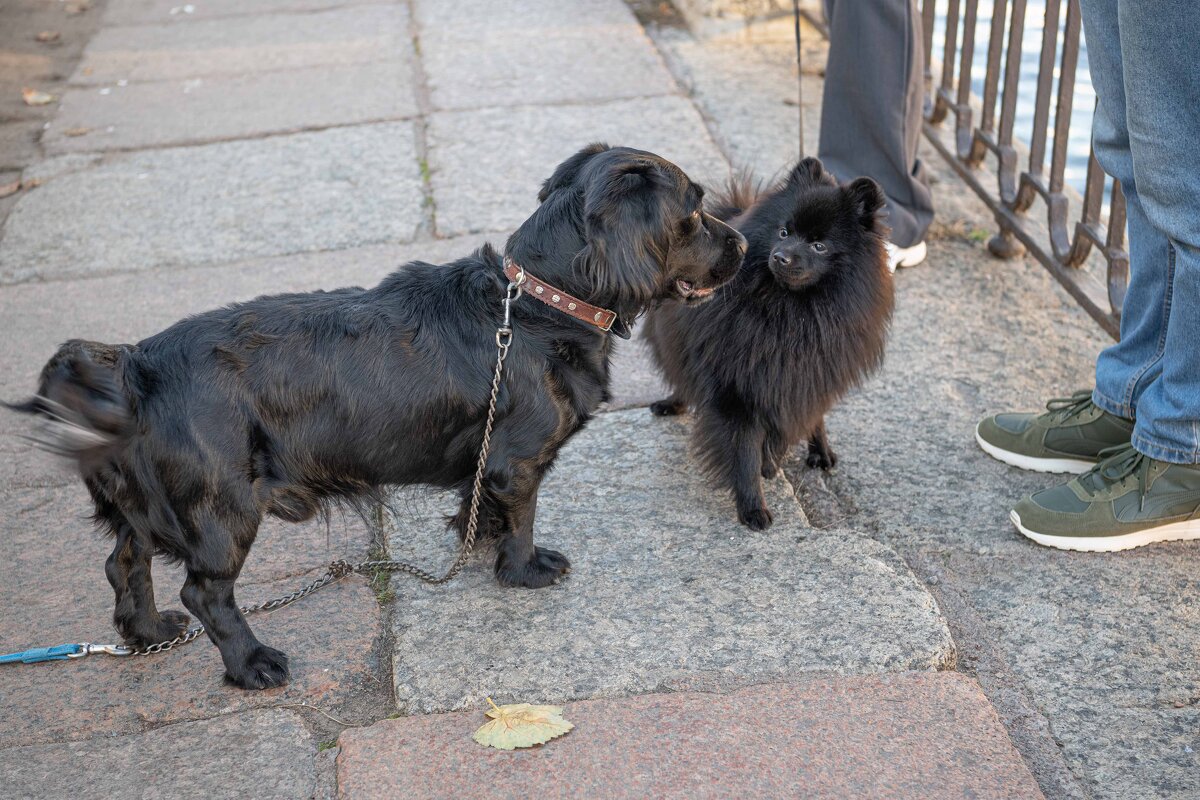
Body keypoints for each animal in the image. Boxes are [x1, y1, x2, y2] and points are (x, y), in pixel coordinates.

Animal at [4, 145, 744, 690]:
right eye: (696, 209)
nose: (741, 242)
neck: (536, 305)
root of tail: (135, 366)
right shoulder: (519, 459)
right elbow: (523, 517)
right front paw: (524, 568)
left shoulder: (488, 463)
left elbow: (479, 503)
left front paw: (475, 541)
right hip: (221, 509)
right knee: (205, 595)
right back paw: (251, 664)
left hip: (147, 507)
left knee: (124, 562)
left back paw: (147, 633)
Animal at [648, 155, 892, 532]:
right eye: (784, 232)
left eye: (819, 245)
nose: (781, 257)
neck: (790, 312)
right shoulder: (738, 389)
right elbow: (745, 450)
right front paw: (753, 506)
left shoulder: (806, 376)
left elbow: (807, 418)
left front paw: (803, 454)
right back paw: (673, 402)